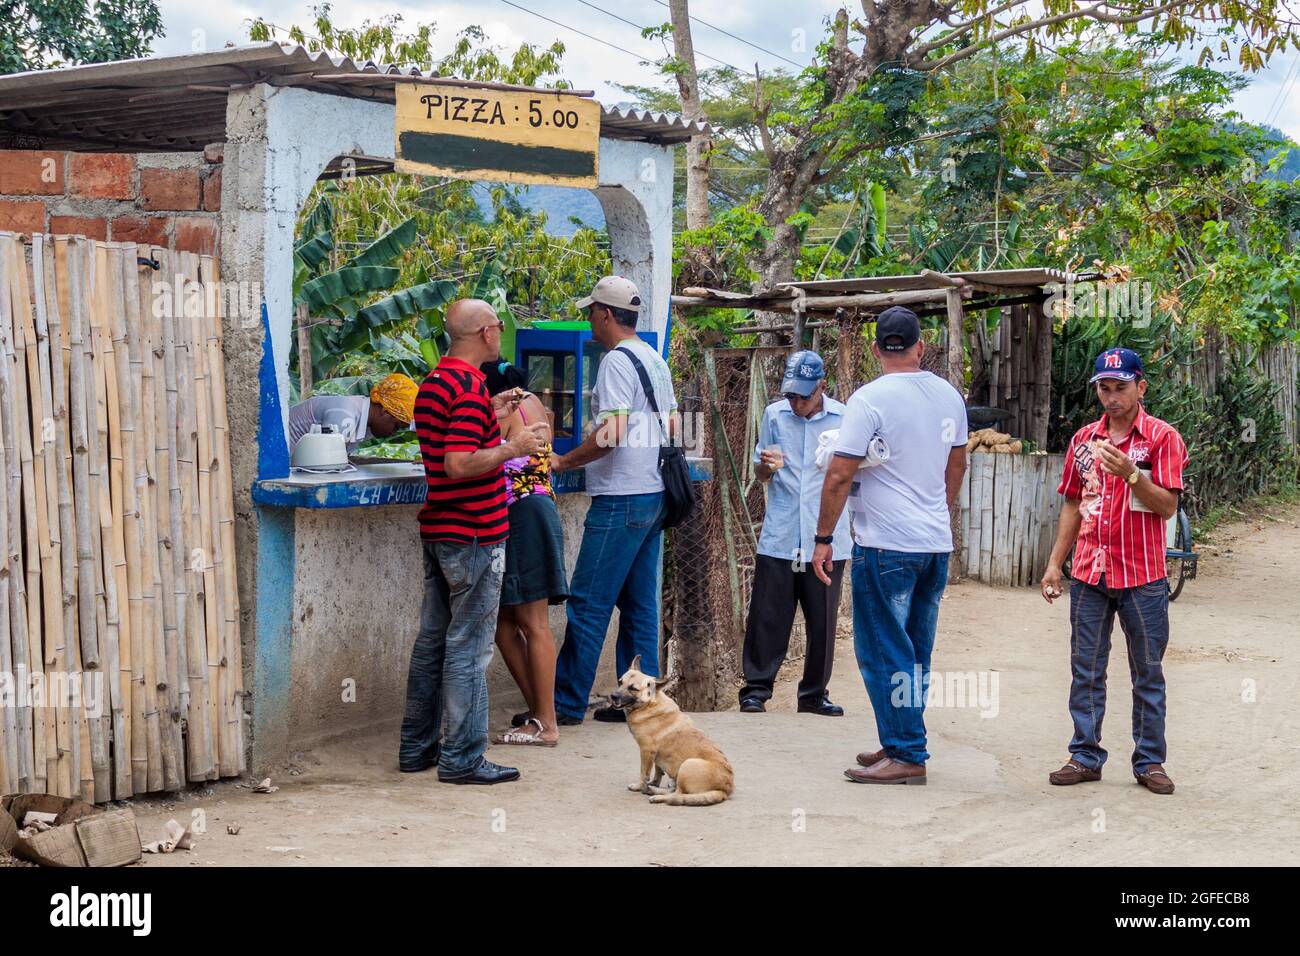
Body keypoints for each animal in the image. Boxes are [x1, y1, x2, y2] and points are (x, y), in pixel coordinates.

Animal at [605, 658, 733, 806]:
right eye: (620, 682)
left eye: (633, 688)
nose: (613, 696)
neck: (649, 704)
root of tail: (725, 790)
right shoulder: (656, 756)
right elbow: (657, 771)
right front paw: (653, 783)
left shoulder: (646, 751)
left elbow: (644, 773)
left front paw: (639, 786)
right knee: (673, 790)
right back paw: (653, 789)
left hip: (687, 765)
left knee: (677, 795)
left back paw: (656, 796)